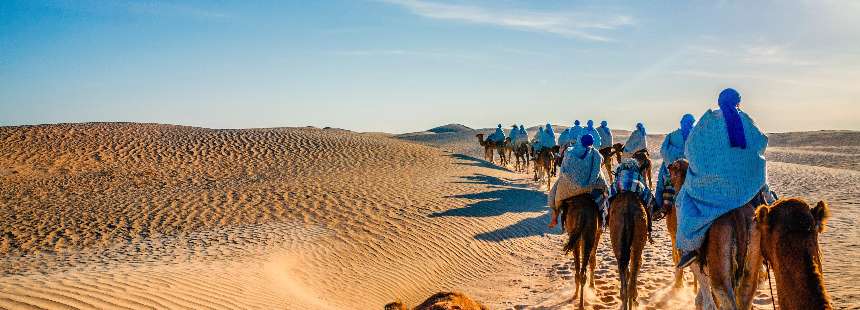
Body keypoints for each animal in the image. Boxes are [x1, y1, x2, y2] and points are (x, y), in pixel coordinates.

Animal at [668, 160, 764, 310]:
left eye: (673, 167)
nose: (668, 167)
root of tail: (738, 216)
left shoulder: (697, 263)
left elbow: (705, 300)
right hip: (752, 256)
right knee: (746, 296)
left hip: (720, 265)